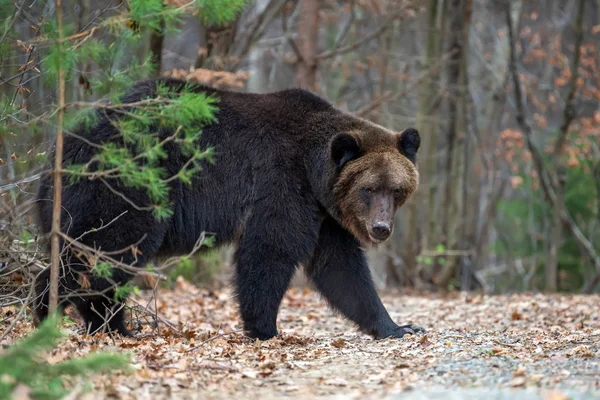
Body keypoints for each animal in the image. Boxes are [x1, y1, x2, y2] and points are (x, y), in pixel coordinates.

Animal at [32, 79, 424, 340]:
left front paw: (398, 326)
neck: (314, 170)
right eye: (368, 189)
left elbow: (341, 267)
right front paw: (266, 328)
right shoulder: (281, 182)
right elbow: (271, 249)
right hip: (126, 183)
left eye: (397, 189)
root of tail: (61, 146)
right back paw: (100, 323)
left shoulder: (322, 213)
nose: (380, 228)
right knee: (108, 250)